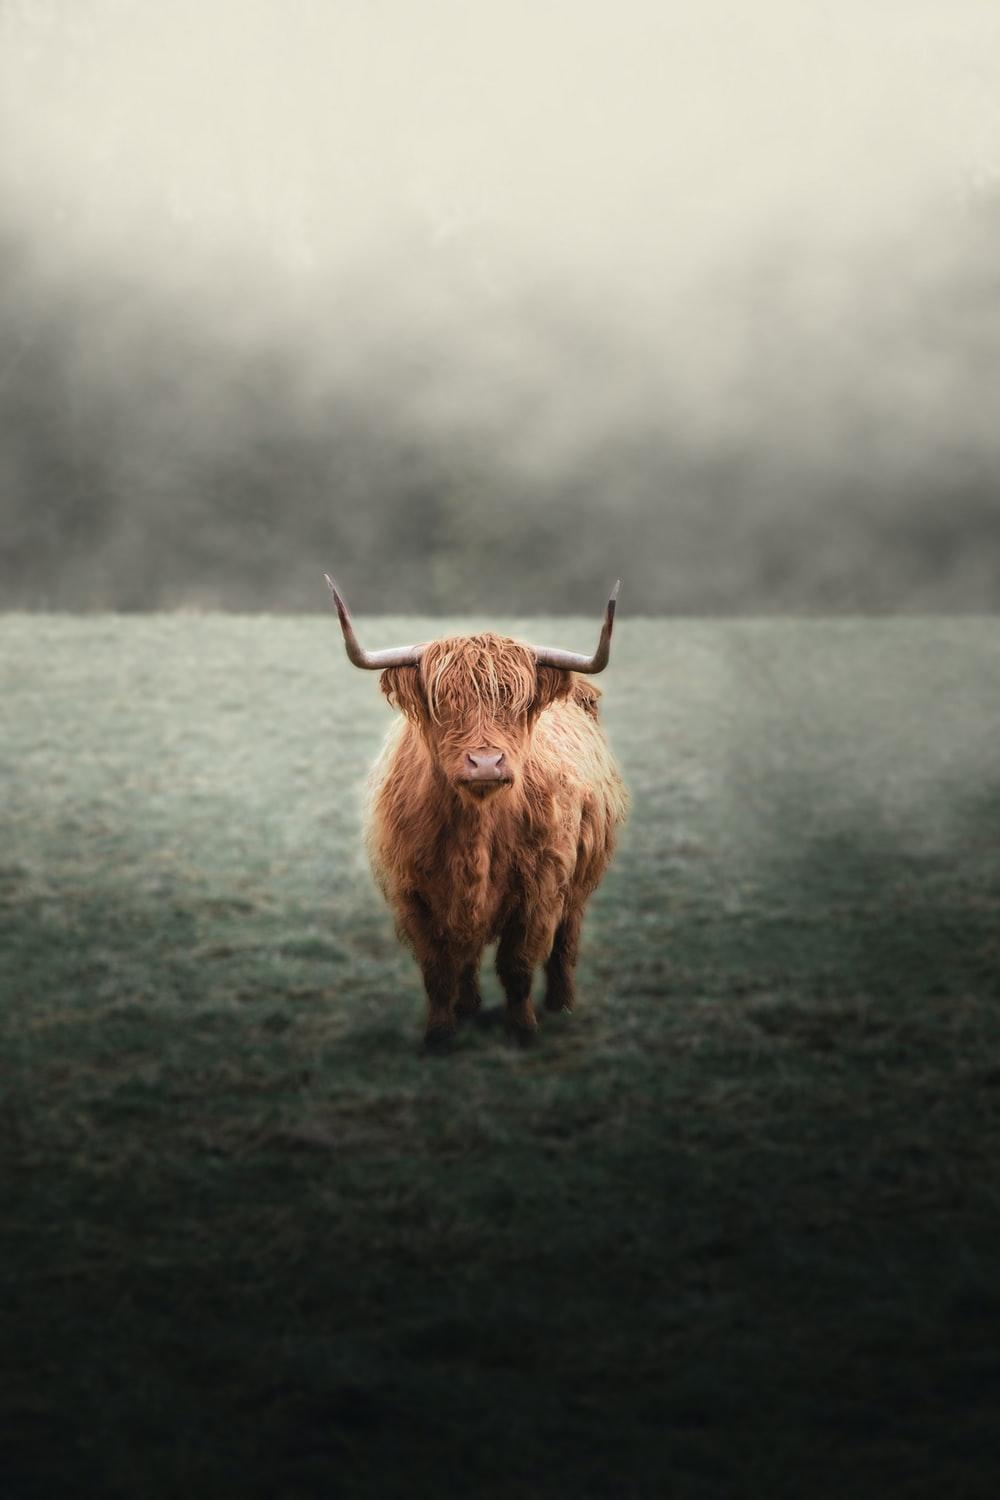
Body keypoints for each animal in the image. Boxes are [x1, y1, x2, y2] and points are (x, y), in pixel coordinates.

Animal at [327, 577, 629, 1047]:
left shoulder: (541, 890)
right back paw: (468, 1006)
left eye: (517, 704)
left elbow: (518, 964)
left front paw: (523, 1029)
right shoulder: (413, 894)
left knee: (566, 942)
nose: (486, 763)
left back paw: (561, 1003)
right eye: (443, 703)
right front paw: (439, 1034)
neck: (477, 828)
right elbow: (437, 969)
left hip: (579, 883)